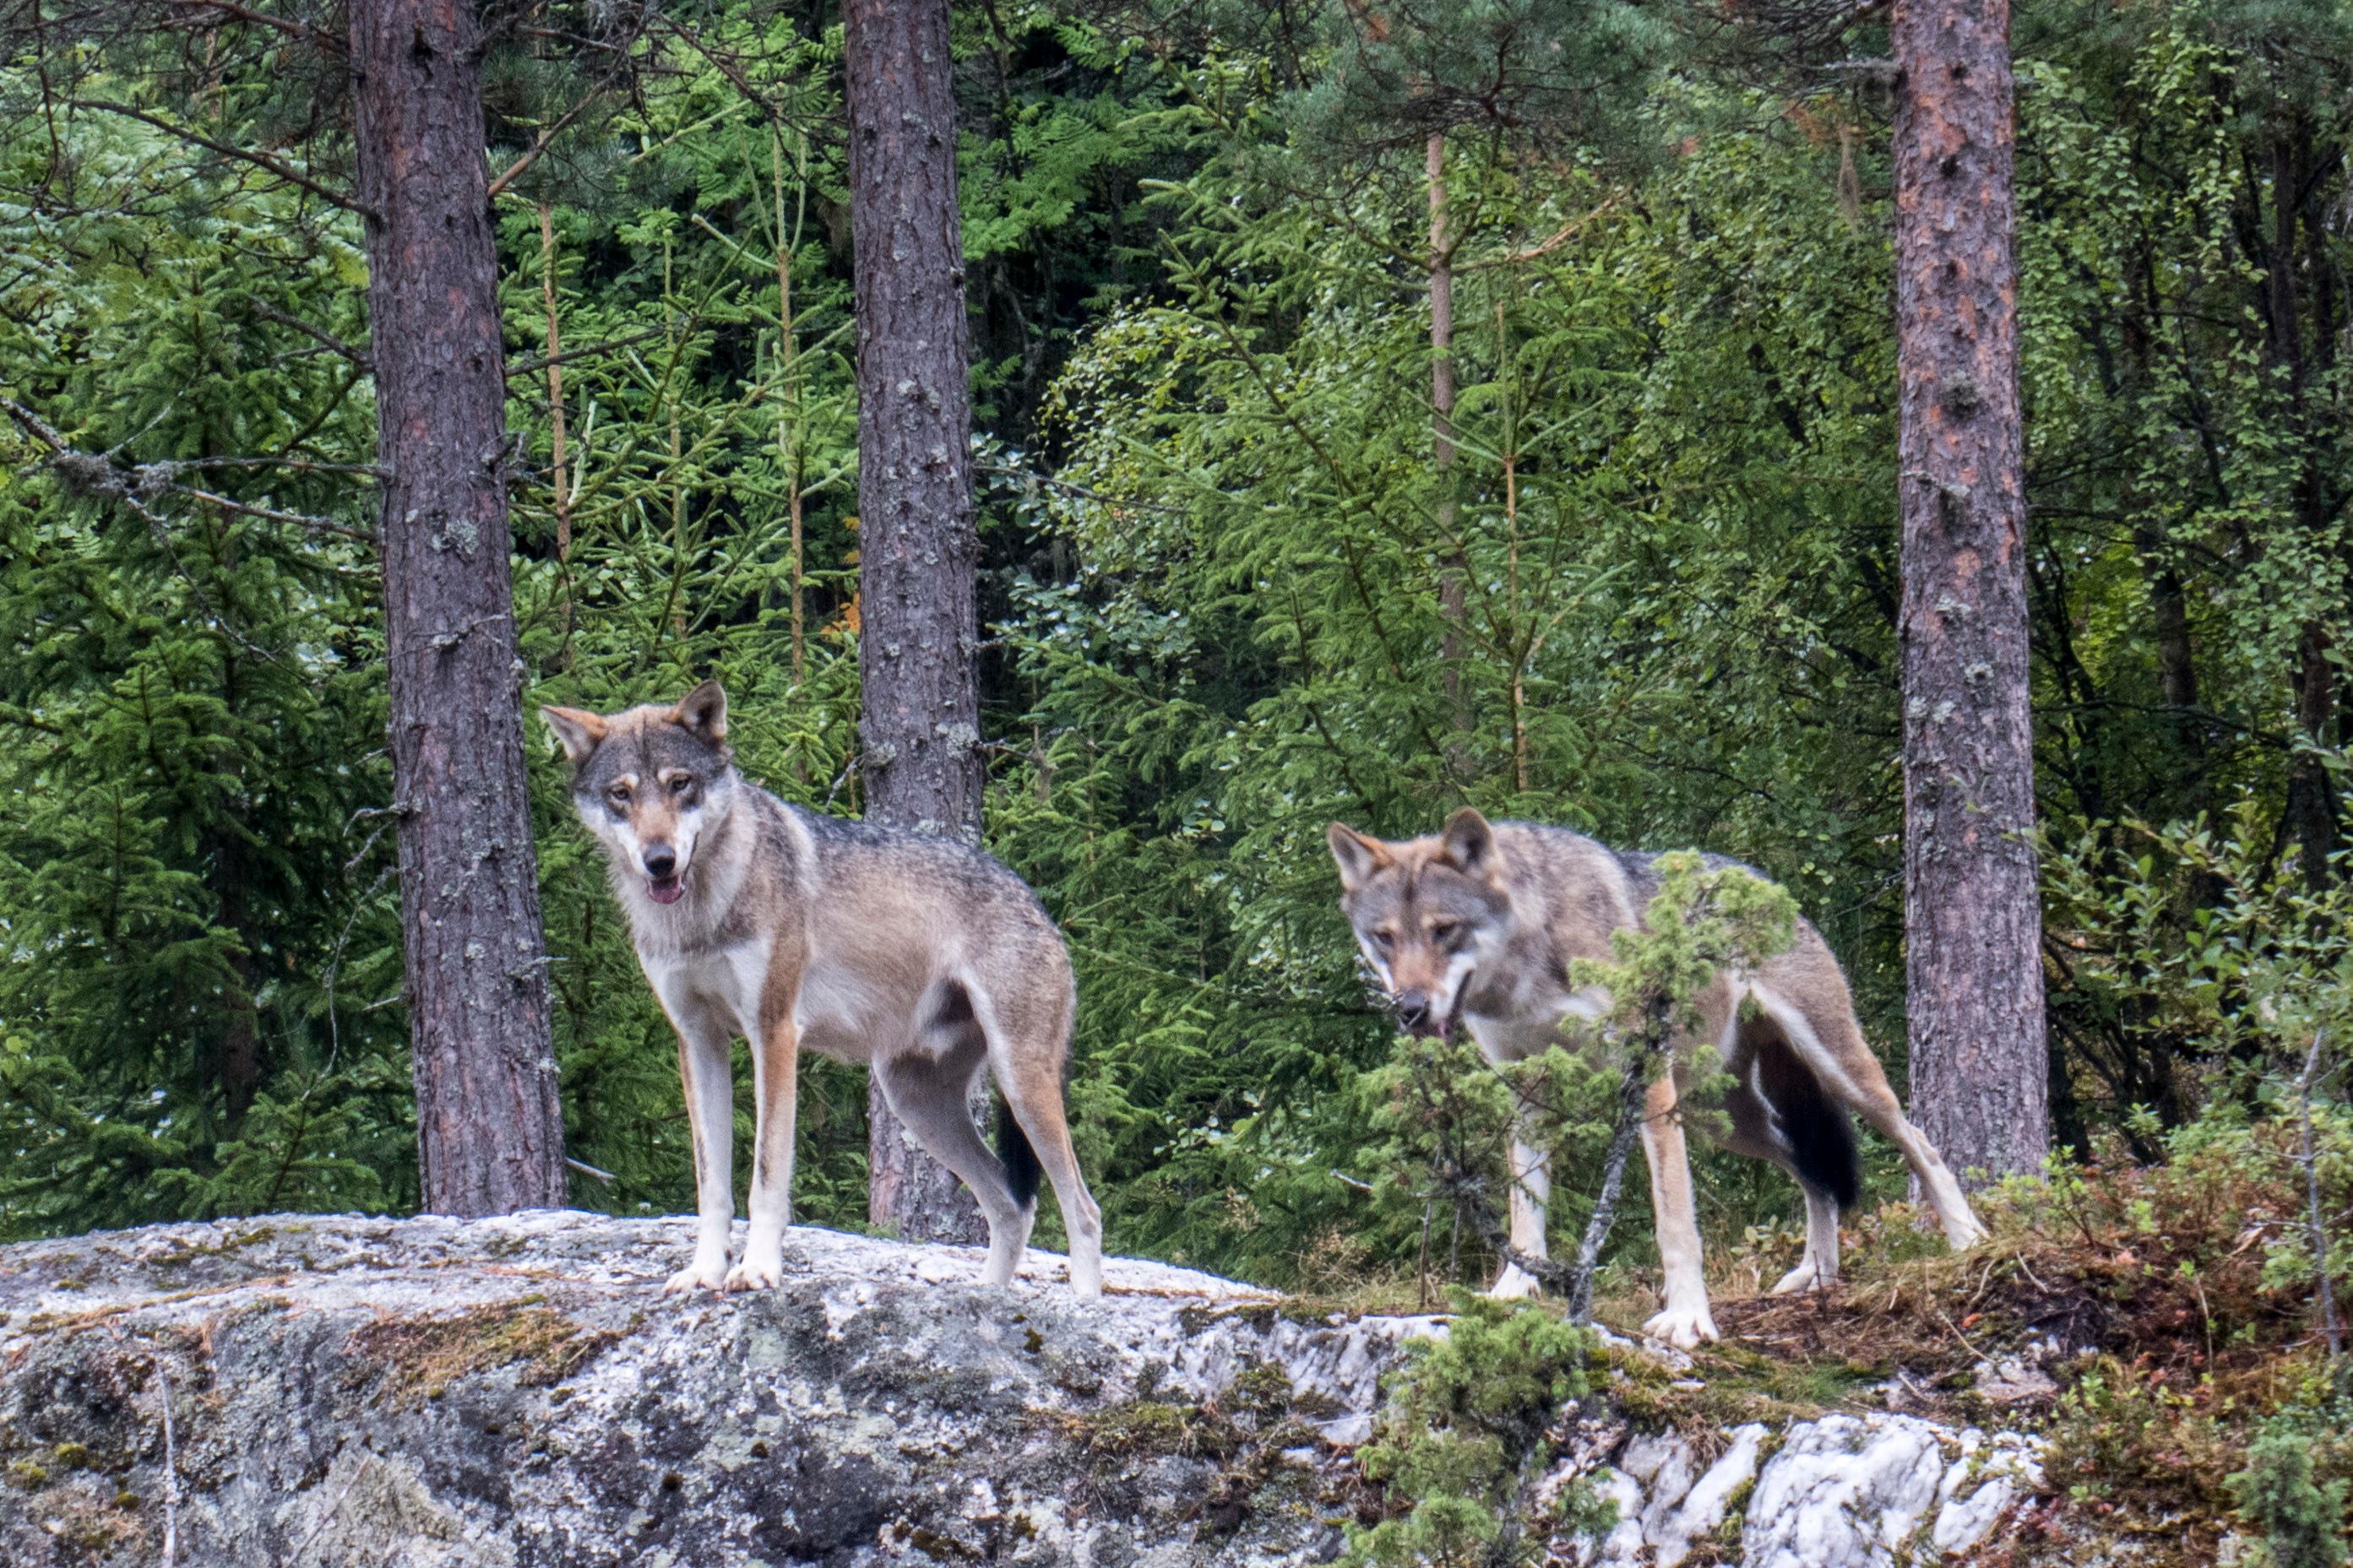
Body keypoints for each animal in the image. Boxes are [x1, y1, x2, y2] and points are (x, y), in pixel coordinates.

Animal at [546, 681, 1106, 1297]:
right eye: (621, 794)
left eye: (679, 784)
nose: (660, 860)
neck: (702, 915)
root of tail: (1040, 907)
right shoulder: (697, 1040)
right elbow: (710, 1183)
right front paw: (704, 1272)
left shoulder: (773, 1033)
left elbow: (766, 1174)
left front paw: (757, 1268)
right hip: (915, 1102)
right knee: (1012, 1207)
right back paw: (990, 1297)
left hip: (1020, 1085)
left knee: (1082, 1208)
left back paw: (1081, 1303)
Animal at [1327, 808, 1986, 1354]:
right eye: (1384, 937)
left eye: (1445, 930)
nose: (1410, 1009)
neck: (1526, 969)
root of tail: (1762, 880)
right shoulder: (1526, 1090)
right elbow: (1524, 1206)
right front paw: (1515, 1289)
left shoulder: (1644, 1082)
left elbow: (1674, 1218)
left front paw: (1689, 1318)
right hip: (1723, 1120)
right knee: (1812, 1173)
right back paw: (1818, 1274)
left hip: (1833, 1073)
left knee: (1917, 1143)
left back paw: (1966, 1238)